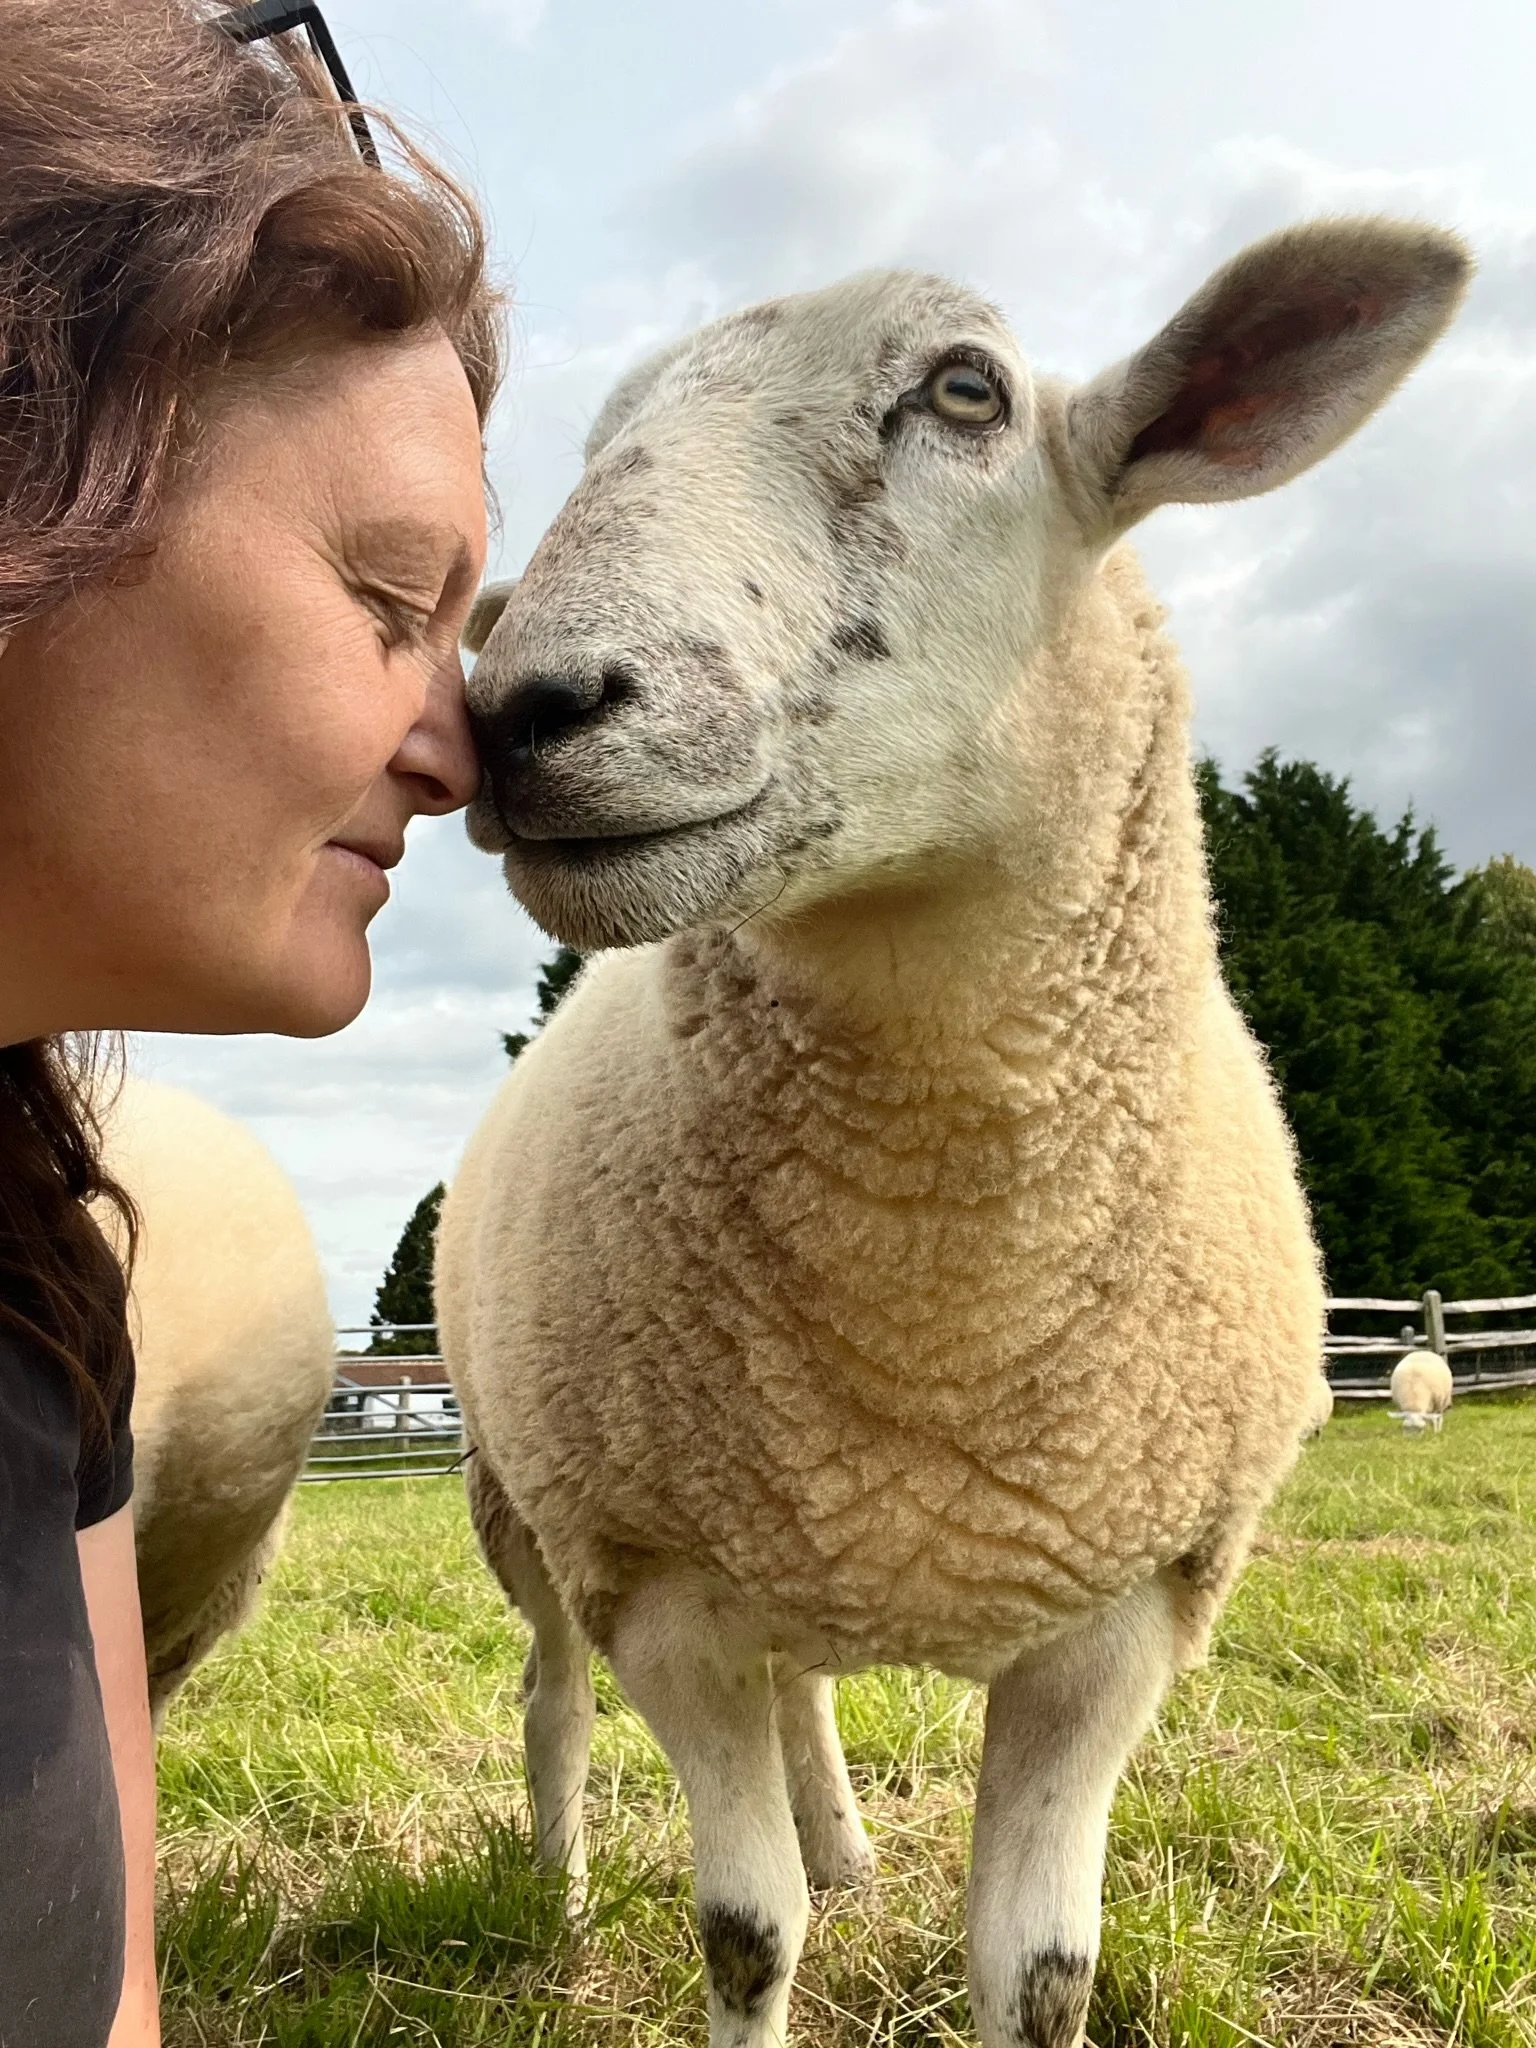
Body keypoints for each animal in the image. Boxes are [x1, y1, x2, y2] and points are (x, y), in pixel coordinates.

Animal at [439, 217, 1469, 2048]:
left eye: (967, 391)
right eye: (599, 436)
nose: (519, 707)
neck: (938, 1293)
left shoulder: (1119, 1618)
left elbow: (1043, 1971)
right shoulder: (660, 1576)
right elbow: (744, 1933)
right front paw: (748, 1928)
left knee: (803, 1684)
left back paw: (845, 1845)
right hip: (528, 1493)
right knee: (553, 1695)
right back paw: (556, 1890)